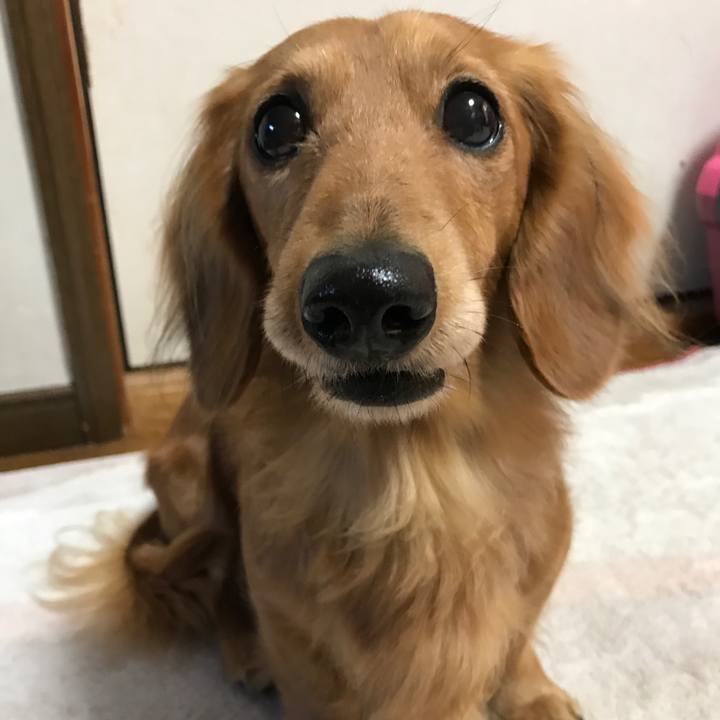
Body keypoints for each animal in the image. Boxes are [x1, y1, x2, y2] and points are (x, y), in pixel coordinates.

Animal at [50, 11, 670, 720]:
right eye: (275, 125)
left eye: (474, 111)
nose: (364, 295)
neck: (413, 480)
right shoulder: (296, 636)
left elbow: (514, 638)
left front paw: (530, 692)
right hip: (184, 479)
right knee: (217, 586)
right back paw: (243, 649)